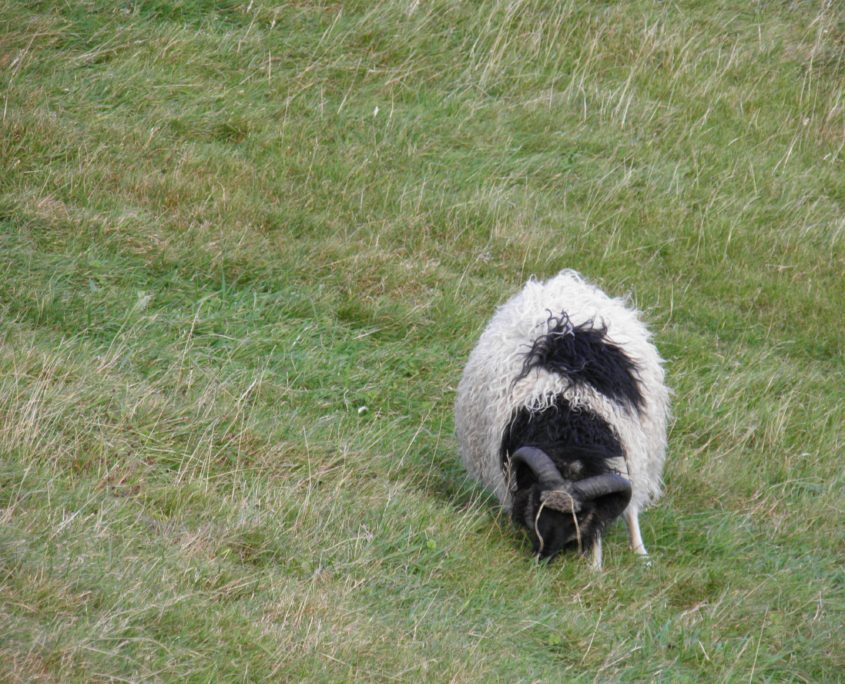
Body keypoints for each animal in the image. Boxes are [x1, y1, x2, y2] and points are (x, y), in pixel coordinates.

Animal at [452, 270, 668, 568]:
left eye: (579, 515)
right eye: (538, 503)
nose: (543, 554)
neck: (570, 433)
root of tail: (567, 280)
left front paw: (595, 566)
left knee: (632, 508)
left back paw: (640, 554)